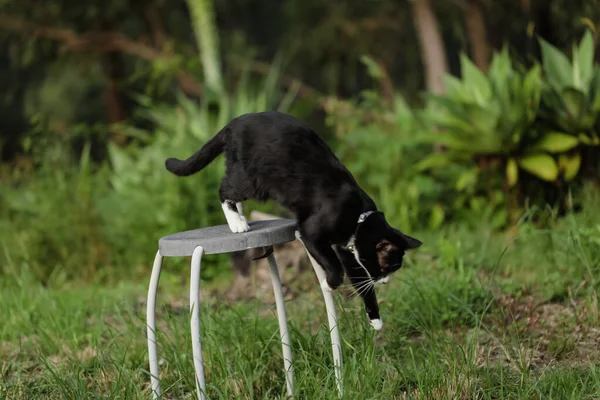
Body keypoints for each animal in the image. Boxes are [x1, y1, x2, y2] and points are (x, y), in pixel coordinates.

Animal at [164, 111, 422, 330]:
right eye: (387, 267)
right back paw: (237, 223)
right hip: (253, 179)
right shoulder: (311, 232)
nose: (385, 281)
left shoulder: (348, 249)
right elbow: (334, 265)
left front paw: (376, 320)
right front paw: (328, 284)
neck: (358, 217)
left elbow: (358, 278)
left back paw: (240, 216)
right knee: (225, 188)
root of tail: (234, 122)